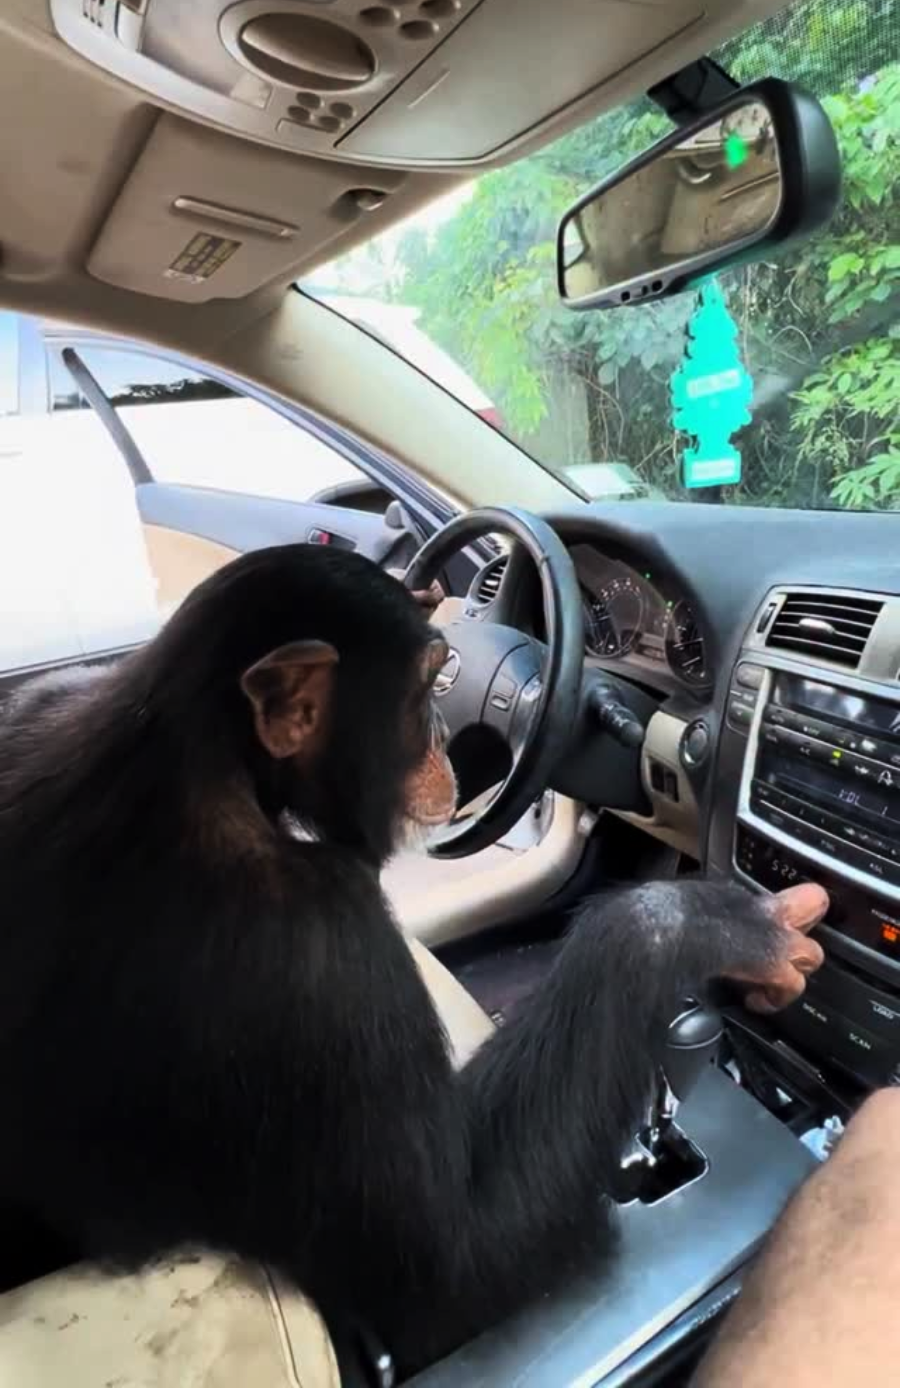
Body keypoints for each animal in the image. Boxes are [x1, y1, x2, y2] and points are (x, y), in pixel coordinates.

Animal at [0, 543, 825, 1376]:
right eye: (431, 682)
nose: (442, 718)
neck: (208, 761)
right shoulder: (323, 949)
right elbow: (450, 1261)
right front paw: (699, 923)